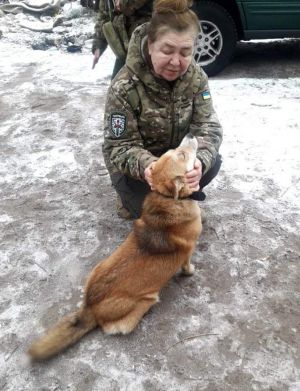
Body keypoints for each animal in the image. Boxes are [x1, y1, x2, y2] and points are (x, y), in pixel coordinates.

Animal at [28, 134, 202, 362]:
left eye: (176, 152)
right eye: (181, 155)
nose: (190, 135)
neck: (166, 198)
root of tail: (89, 308)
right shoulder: (188, 252)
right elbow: (187, 264)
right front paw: (190, 272)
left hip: (98, 266)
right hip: (145, 302)